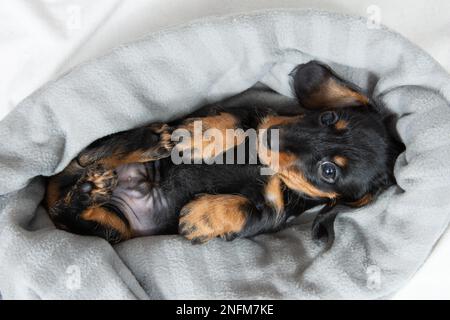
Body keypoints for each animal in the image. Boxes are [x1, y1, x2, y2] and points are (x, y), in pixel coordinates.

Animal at [44, 61, 404, 244]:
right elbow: (233, 122)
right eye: (327, 118)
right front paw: (197, 137)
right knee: (92, 159)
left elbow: (248, 211)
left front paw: (200, 218)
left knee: (73, 208)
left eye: (329, 171)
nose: (270, 137)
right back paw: (146, 144)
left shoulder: (274, 214)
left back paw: (91, 188)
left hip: (113, 228)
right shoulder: (252, 113)